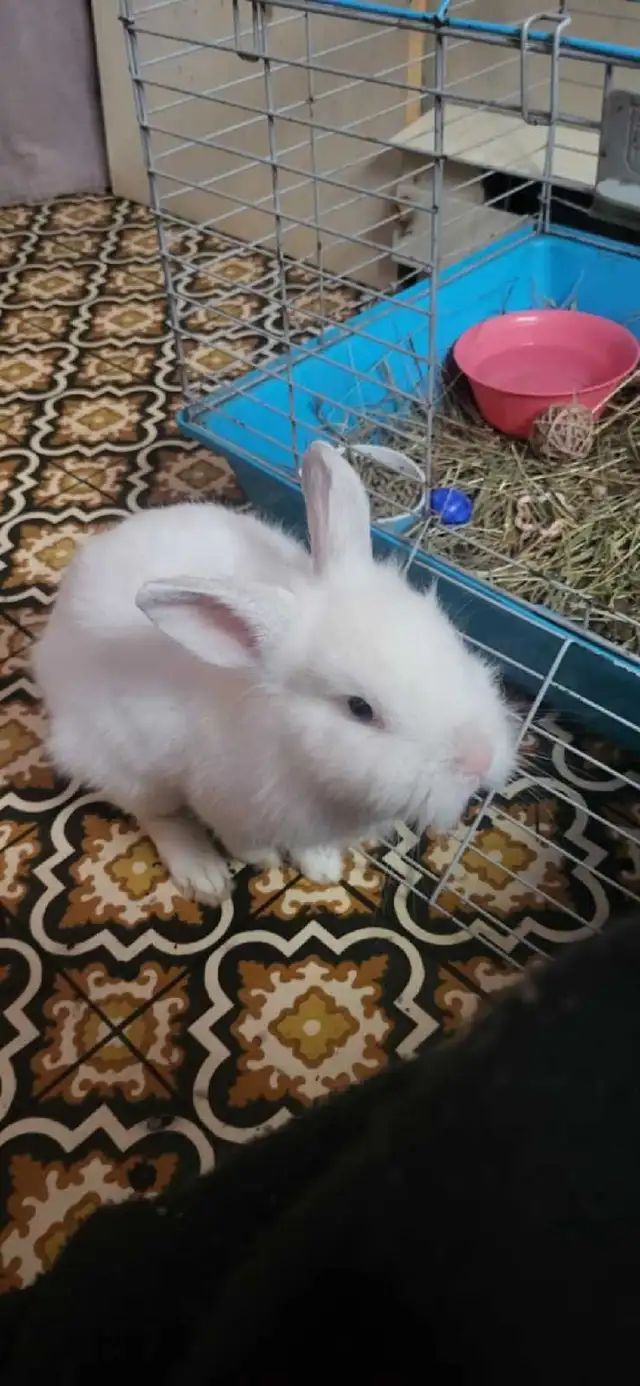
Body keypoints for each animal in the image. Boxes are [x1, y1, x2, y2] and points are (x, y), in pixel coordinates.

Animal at [32, 440, 518, 904]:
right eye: (359, 709)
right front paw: (263, 861)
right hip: (124, 766)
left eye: (449, 638)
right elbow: (242, 841)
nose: (479, 759)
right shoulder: (223, 803)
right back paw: (205, 877)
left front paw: (322, 868)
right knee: (158, 816)